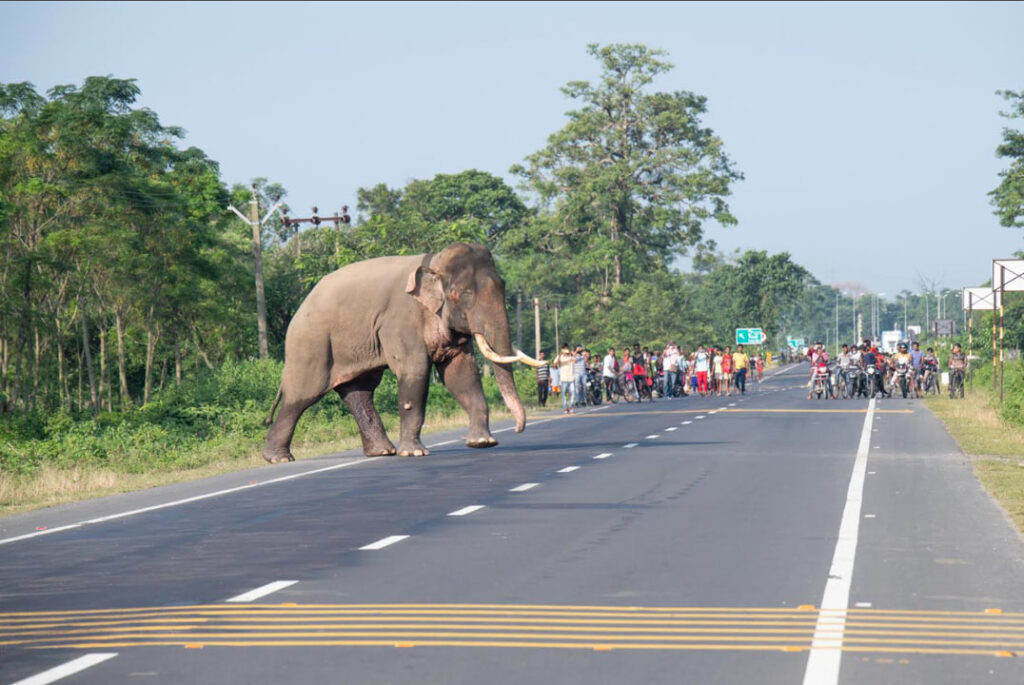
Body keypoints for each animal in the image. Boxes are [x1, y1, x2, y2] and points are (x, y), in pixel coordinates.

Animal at [262, 243, 543, 462]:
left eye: (503, 285)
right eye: (464, 293)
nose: (518, 429)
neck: (433, 262)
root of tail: (302, 304)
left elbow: (460, 373)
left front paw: (482, 443)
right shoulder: (401, 321)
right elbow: (415, 371)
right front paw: (415, 453)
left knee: (359, 391)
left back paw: (382, 451)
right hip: (312, 343)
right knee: (302, 395)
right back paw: (278, 458)